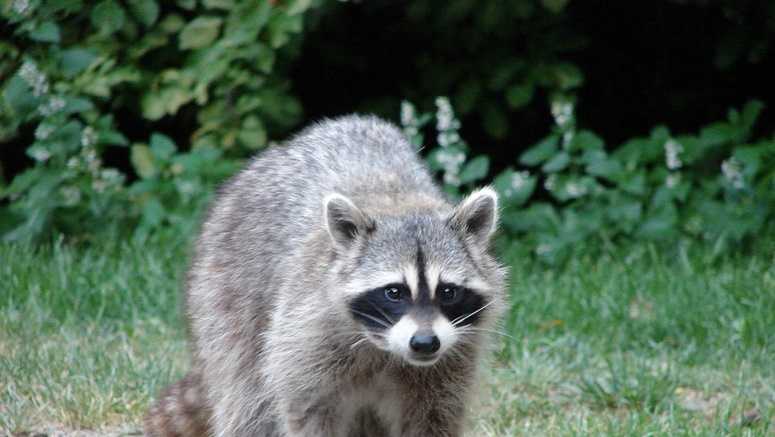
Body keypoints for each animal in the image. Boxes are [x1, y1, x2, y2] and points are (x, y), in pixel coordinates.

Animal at [144, 115, 507, 437]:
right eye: (394, 292)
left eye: (447, 291)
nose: (424, 343)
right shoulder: (304, 338)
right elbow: (305, 412)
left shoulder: (453, 361)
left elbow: (434, 419)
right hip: (226, 295)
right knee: (248, 401)